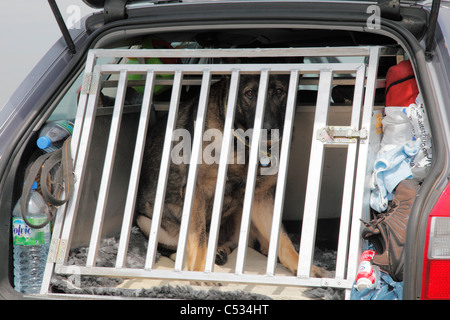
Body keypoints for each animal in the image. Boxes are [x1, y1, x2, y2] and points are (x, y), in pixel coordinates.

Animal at [135, 73, 328, 278]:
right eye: (249, 93)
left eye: (278, 91)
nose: (268, 130)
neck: (242, 144)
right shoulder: (196, 192)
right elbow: (198, 238)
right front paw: (199, 273)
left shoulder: (261, 198)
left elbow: (283, 239)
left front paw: (303, 268)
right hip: (146, 222)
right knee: (174, 249)